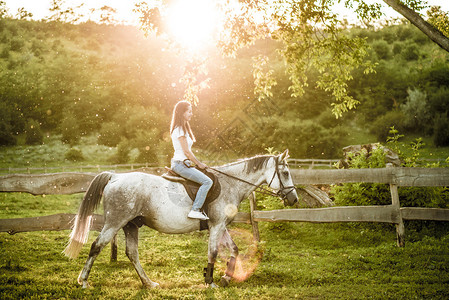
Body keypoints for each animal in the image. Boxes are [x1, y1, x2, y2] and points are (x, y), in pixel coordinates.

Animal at [64, 150, 298, 288]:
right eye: (286, 173)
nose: (294, 199)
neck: (230, 184)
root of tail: (115, 176)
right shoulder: (216, 226)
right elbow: (213, 252)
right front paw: (210, 281)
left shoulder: (220, 225)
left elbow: (234, 249)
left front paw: (226, 277)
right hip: (115, 223)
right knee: (96, 246)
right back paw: (83, 281)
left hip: (131, 225)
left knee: (132, 253)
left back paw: (148, 283)